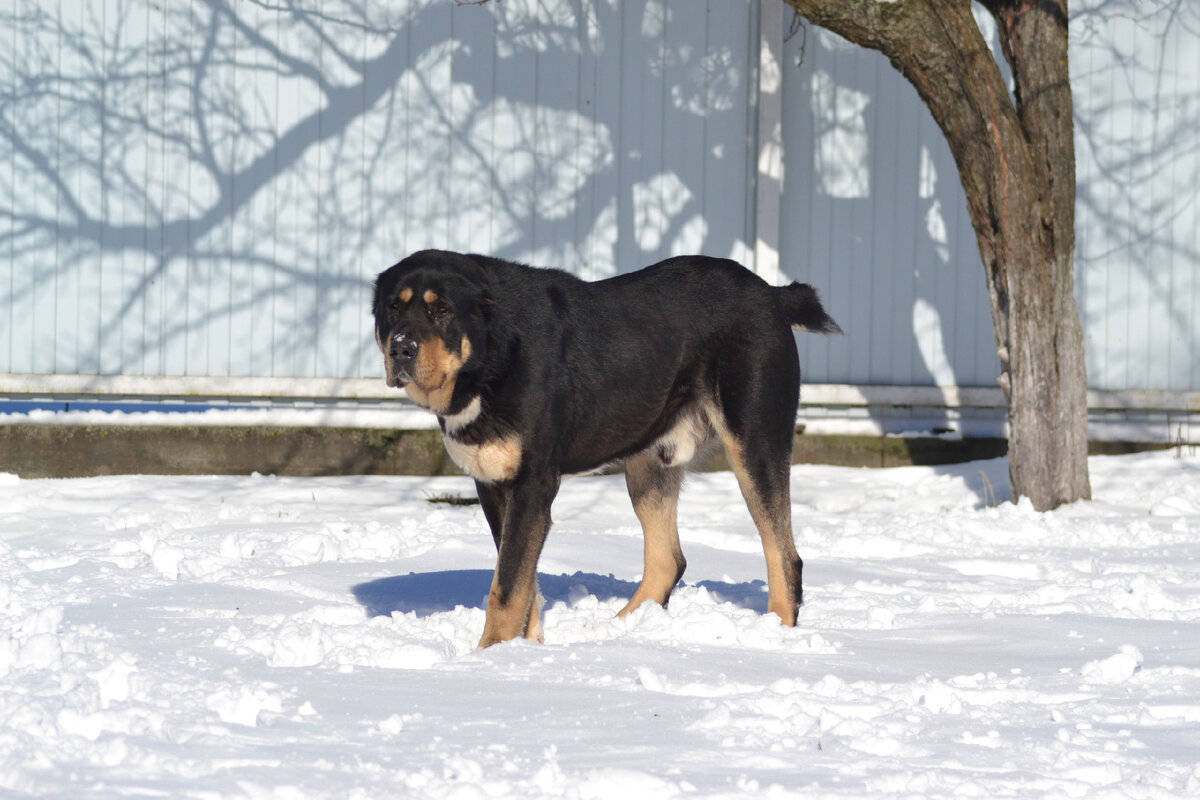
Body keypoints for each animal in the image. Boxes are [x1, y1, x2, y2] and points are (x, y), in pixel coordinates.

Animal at [369, 251, 840, 652]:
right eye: (393, 308)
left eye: (442, 310)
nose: (401, 348)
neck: (491, 355)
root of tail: (772, 294)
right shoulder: (495, 486)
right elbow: (523, 583)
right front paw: (525, 650)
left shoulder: (533, 485)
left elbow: (507, 587)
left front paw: (490, 656)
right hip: (651, 465)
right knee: (669, 561)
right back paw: (620, 633)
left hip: (754, 445)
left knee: (785, 557)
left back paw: (774, 637)